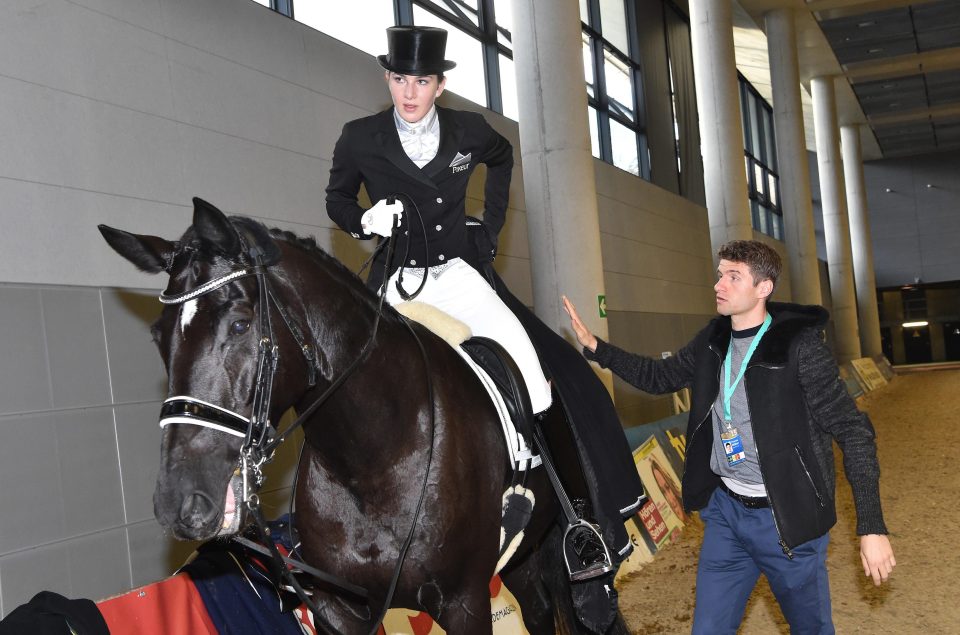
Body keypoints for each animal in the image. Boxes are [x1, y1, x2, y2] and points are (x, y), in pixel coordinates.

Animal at [97, 200, 632, 635]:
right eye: (159, 335)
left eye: (241, 324)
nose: (180, 501)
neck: (375, 456)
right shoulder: (341, 611)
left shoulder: (465, 602)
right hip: (522, 553)